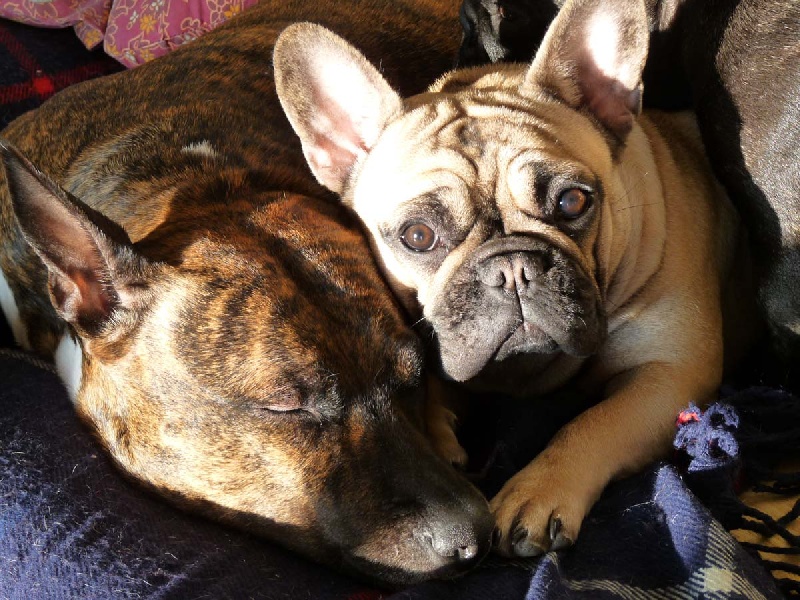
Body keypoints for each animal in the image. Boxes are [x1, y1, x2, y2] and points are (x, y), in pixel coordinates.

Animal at [275, 0, 754, 556]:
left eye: (573, 202)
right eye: (418, 236)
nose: (513, 268)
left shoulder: (671, 374)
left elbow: (596, 422)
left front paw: (538, 492)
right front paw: (439, 435)